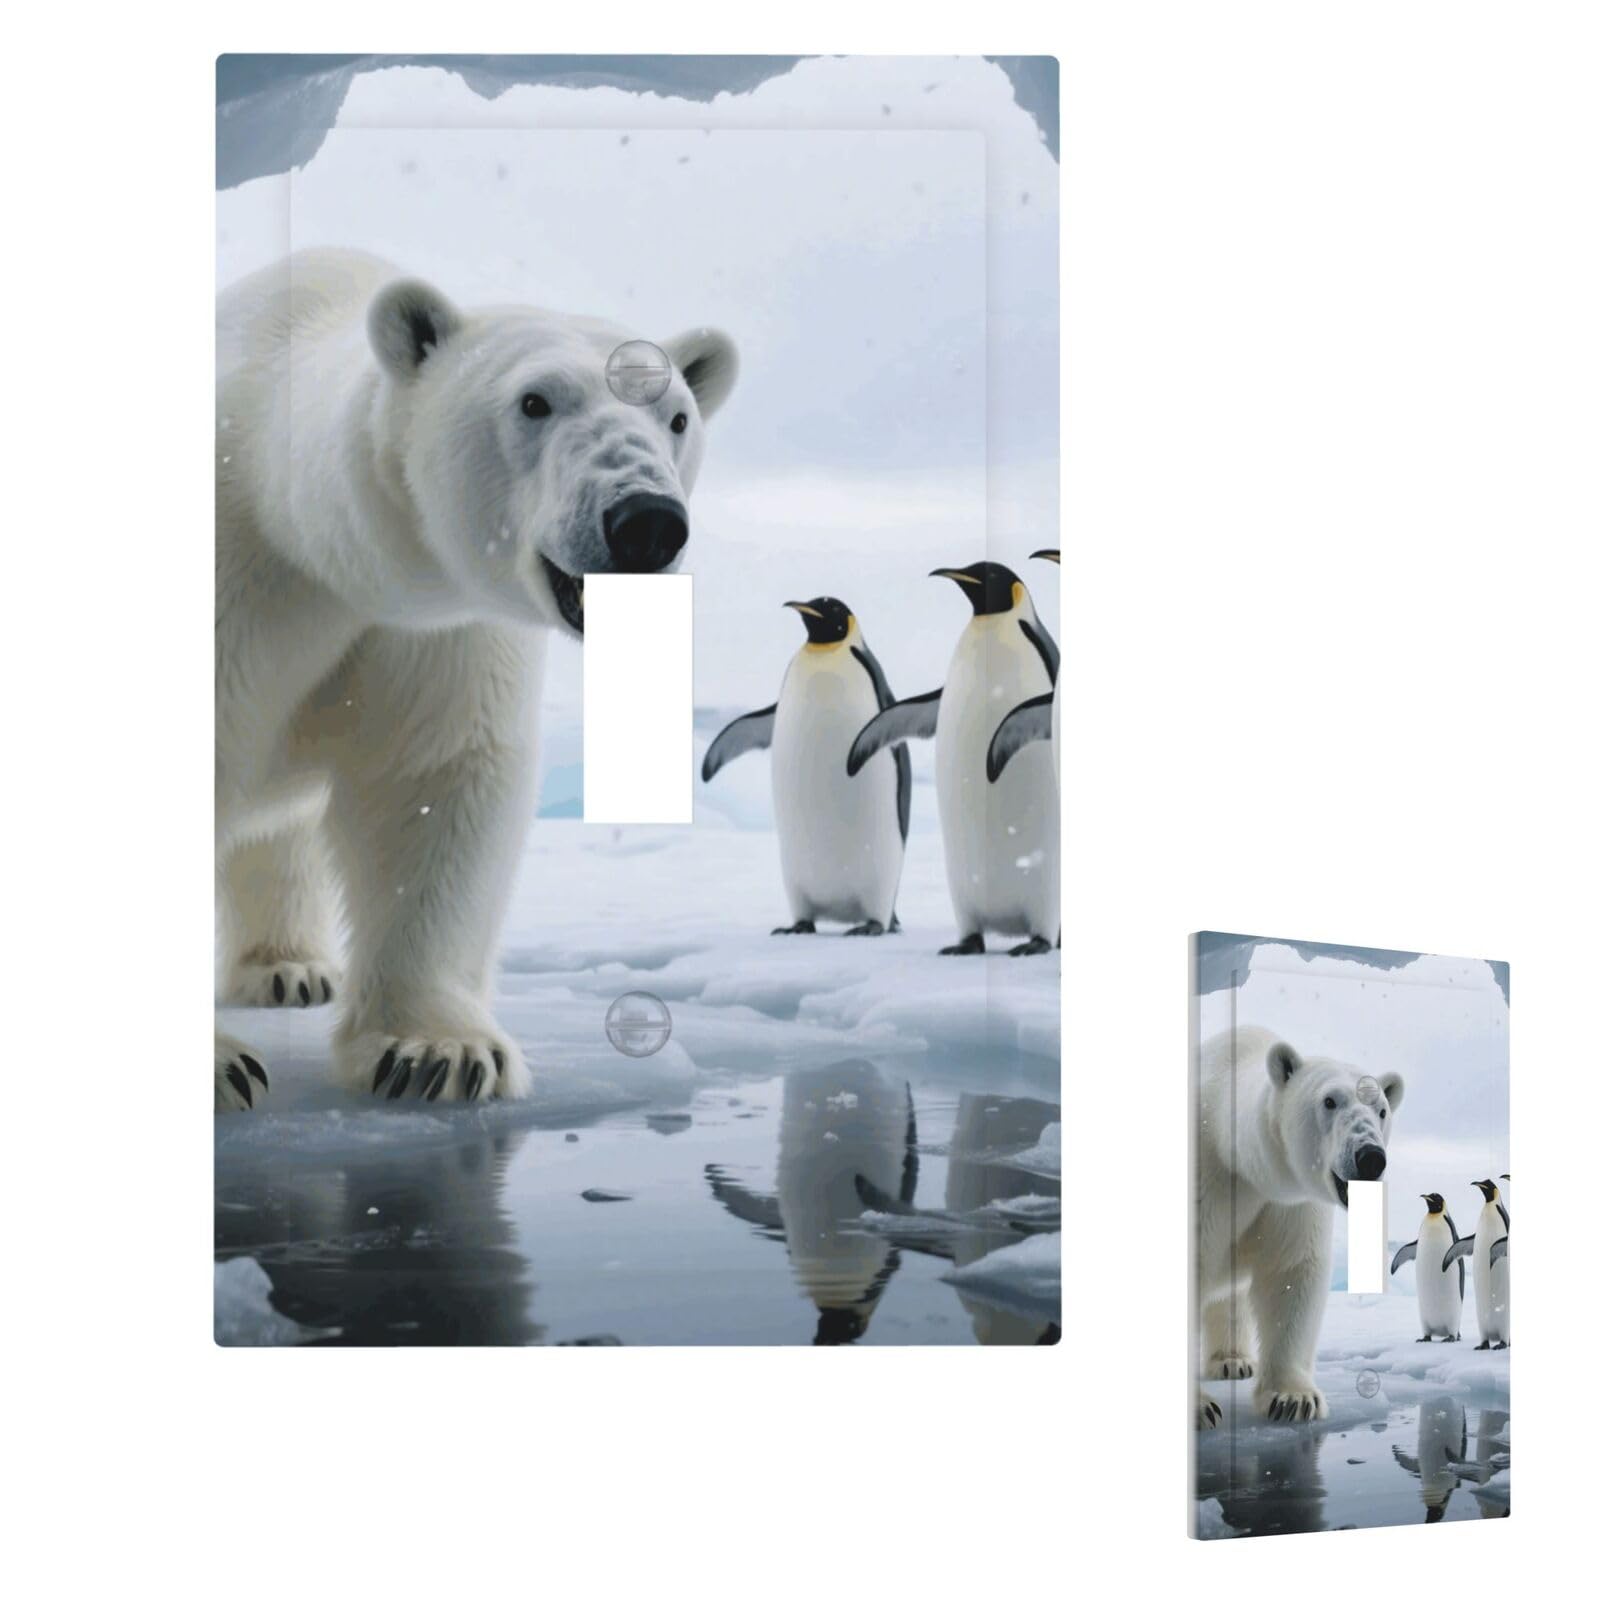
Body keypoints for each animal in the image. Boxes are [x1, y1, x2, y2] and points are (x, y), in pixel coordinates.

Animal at [215, 249, 737, 1109]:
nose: (646, 522)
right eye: (535, 401)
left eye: (677, 416)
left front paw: (436, 1052)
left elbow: (436, 776)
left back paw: (289, 968)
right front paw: (220, 1066)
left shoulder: (439, 633)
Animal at [1193, 1025, 1403, 1425]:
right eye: (1330, 1101)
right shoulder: (1208, 1179)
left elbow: (1290, 1272)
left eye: (1382, 1109)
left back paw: (1232, 1361)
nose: (1370, 1157)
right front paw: (1199, 1408)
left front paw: (1292, 1399)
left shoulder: (1291, 1203)